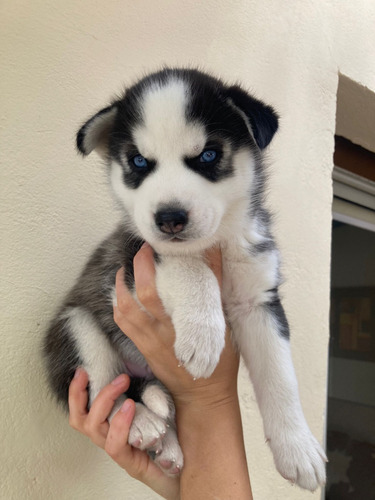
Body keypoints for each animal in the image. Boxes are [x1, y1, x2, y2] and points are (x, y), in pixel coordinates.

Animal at [42, 68, 328, 490]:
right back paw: (142, 423)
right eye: (139, 161)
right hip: (76, 328)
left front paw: (298, 448)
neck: (218, 244)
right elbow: (188, 266)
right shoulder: (132, 262)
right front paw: (203, 337)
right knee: (103, 393)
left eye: (208, 155)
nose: (170, 218)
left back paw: (168, 445)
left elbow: (281, 377)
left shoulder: (259, 301)